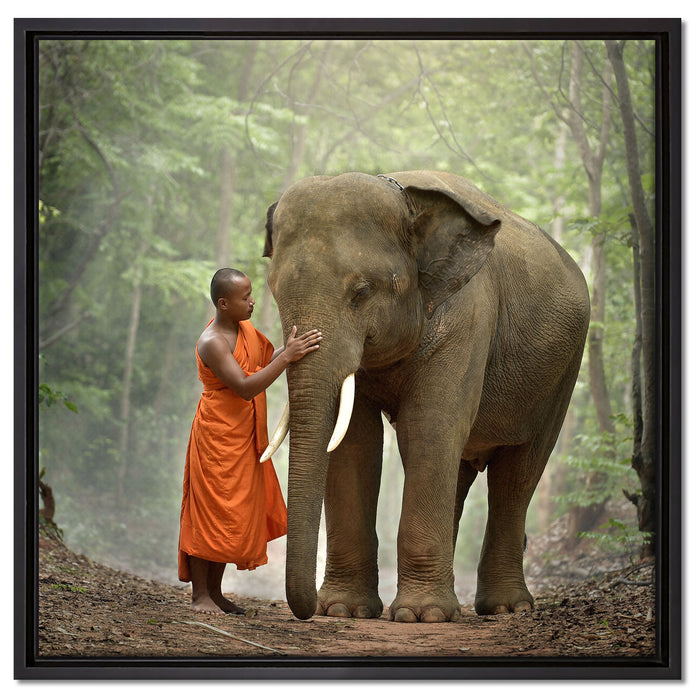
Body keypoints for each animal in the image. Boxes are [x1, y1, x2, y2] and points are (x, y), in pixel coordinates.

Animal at [261, 170, 590, 623]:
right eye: (274, 292)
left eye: (360, 293)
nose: (308, 611)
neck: (406, 198)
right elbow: (357, 441)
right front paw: (345, 610)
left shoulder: (467, 316)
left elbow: (429, 427)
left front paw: (421, 616)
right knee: (462, 471)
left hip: (563, 371)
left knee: (518, 473)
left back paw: (505, 608)